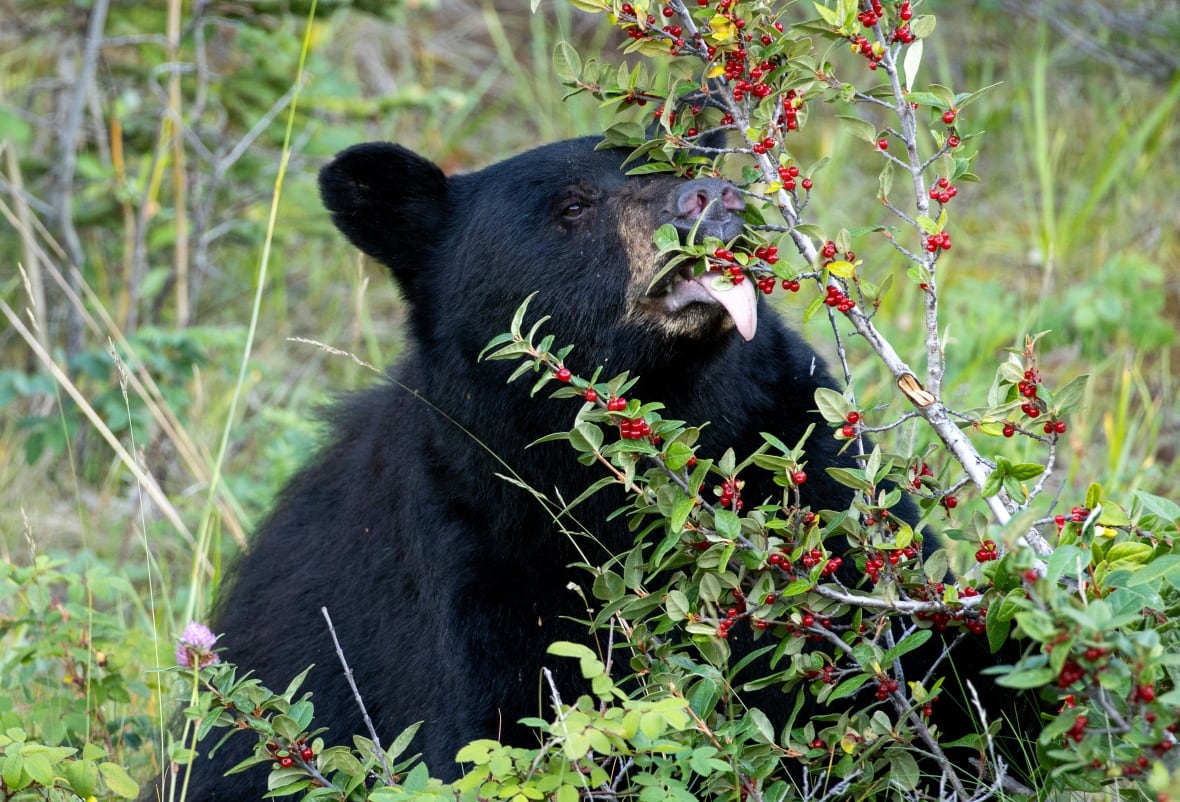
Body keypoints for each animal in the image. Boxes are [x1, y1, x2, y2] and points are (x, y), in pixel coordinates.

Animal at [176, 136, 1034, 801]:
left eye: (675, 158)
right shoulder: (479, 560)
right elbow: (504, 729)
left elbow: (932, 656)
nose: (710, 197)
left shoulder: (808, 465)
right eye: (573, 207)